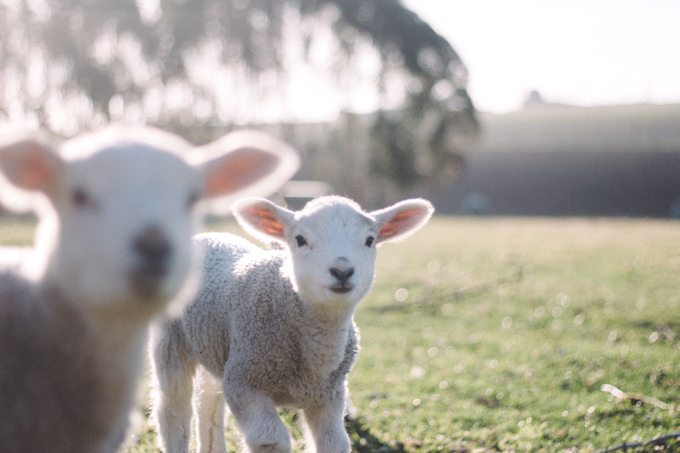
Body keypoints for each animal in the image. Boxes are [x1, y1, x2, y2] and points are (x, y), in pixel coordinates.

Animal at [151, 194, 432, 452]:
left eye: (370, 240)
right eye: (300, 239)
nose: (342, 271)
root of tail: (208, 236)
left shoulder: (329, 395)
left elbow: (334, 443)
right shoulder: (244, 381)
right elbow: (270, 439)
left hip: (216, 347)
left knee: (208, 403)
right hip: (171, 342)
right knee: (173, 411)